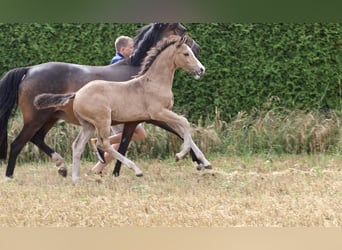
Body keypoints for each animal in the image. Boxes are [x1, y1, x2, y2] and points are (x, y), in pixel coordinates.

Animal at [0, 22, 202, 179]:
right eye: (182, 30)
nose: (198, 50)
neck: (141, 73)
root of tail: (29, 70)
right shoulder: (153, 115)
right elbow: (180, 129)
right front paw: (197, 160)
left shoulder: (135, 120)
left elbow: (125, 143)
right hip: (37, 118)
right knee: (18, 143)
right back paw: (10, 175)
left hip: (52, 117)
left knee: (39, 138)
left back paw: (65, 168)